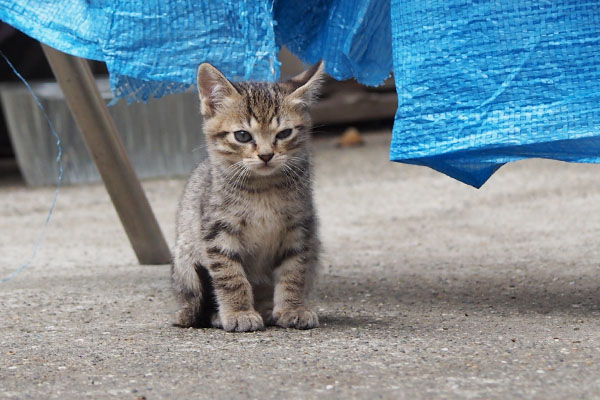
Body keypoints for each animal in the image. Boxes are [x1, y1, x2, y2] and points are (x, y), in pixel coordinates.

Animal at [171, 61, 326, 332]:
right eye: (242, 136)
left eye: (284, 133)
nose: (266, 155)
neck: (263, 189)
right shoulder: (217, 230)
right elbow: (230, 276)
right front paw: (238, 312)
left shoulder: (300, 227)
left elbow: (294, 271)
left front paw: (292, 308)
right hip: (186, 259)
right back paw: (210, 314)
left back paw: (266, 309)